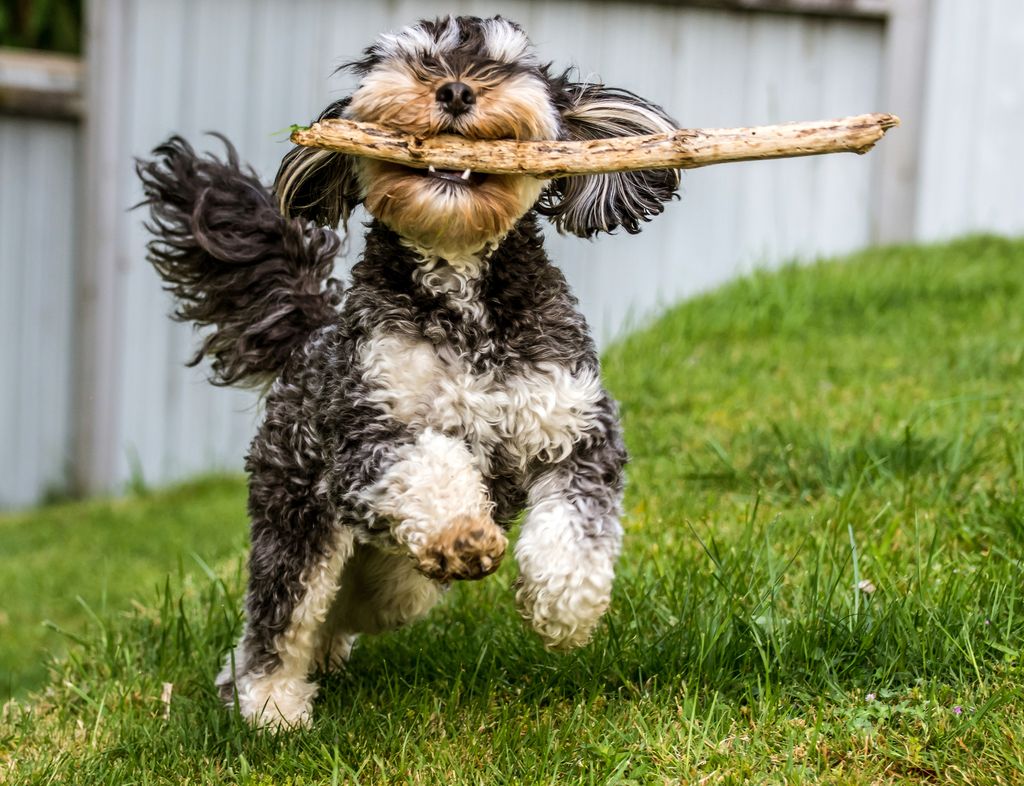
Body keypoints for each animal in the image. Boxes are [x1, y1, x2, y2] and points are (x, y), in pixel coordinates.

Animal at [136, 15, 679, 728]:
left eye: (504, 64)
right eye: (415, 59)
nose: (455, 90)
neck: (459, 289)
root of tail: (311, 337)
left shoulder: (576, 427)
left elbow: (578, 527)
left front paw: (563, 609)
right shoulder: (365, 434)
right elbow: (427, 463)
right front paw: (460, 531)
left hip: (396, 581)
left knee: (353, 604)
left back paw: (326, 651)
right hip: (297, 510)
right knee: (282, 611)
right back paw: (268, 701)